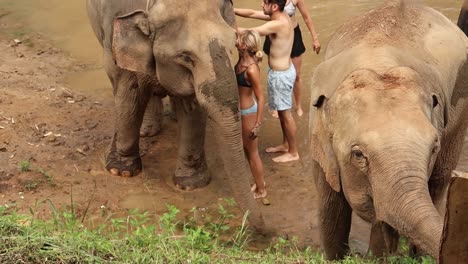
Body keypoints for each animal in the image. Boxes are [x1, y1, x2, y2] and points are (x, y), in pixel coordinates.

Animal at [86, 0, 266, 228]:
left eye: (233, 46)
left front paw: (190, 184)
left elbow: (192, 109)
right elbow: (130, 95)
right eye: (185, 57)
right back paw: (147, 132)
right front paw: (121, 171)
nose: (265, 228)